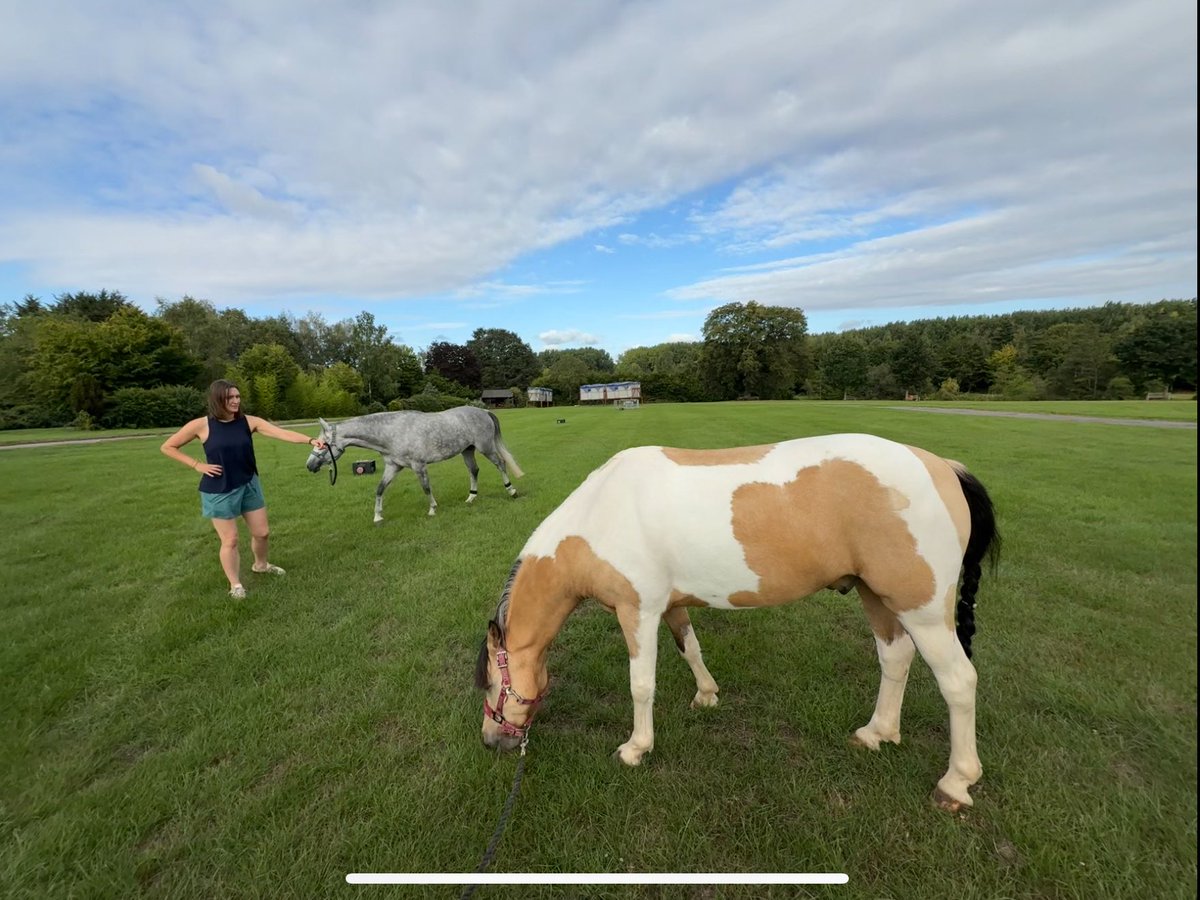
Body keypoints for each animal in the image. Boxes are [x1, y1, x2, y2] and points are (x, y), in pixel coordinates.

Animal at [305, 406, 523, 522]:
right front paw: (377, 517)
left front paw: (432, 509)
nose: (310, 465)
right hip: (467, 450)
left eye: (322, 444)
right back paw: (471, 498)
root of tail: (484, 411)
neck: (391, 433)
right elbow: (380, 489)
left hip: (486, 447)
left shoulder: (419, 466)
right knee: (474, 470)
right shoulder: (393, 467)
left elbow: (426, 488)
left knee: (501, 464)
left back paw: (512, 491)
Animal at [475, 433, 999, 812]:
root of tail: (941, 466)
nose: (491, 742)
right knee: (895, 657)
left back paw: (956, 782)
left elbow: (641, 685)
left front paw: (636, 748)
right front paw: (707, 694)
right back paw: (877, 733)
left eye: (492, 685)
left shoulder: (637, 611)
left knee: (959, 681)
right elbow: (690, 647)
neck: (599, 516)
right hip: (879, 596)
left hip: (923, 610)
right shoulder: (670, 605)